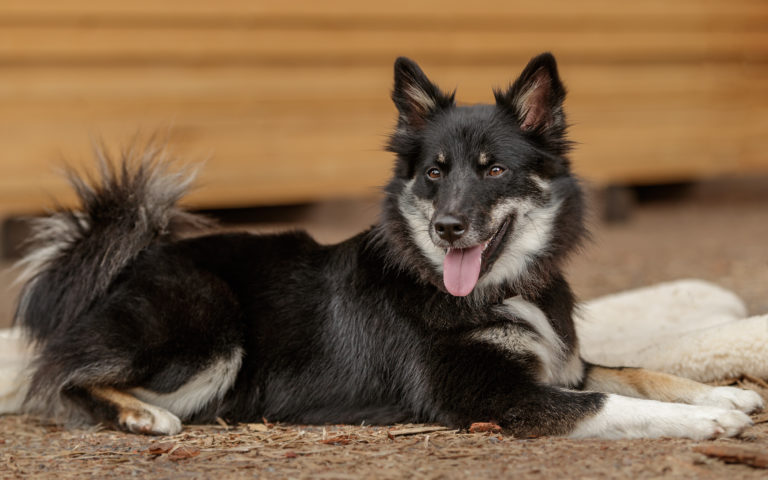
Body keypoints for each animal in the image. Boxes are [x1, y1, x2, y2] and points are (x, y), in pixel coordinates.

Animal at [12, 52, 760, 438]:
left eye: (493, 169)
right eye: (434, 173)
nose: (446, 229)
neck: (497, 291)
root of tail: (127, 257)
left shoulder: (561, 366)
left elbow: (632, 371)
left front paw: (723, 398)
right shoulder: (492, 399)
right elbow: (611, 402)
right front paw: (703, 421)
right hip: (210, 330)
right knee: (64, 379)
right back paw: (141, 415)